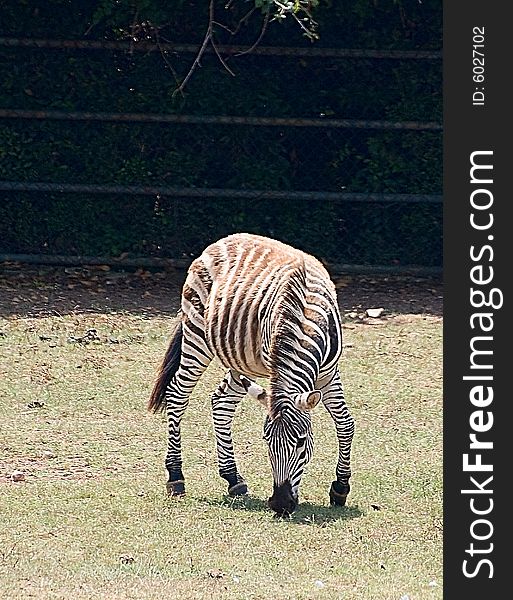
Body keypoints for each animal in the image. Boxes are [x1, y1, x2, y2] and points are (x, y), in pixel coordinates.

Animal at [149, 232, 352, 512]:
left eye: (301, 442)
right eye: (267, 441)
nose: (280, 504)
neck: (305, 318)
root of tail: (219, 242)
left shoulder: (329, 373)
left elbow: (345, 423)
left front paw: (340, 488)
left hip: (240, 357)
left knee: (221, 401)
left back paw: (233, 479)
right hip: (197, 333)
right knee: (178, 394)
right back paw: (176, 476)